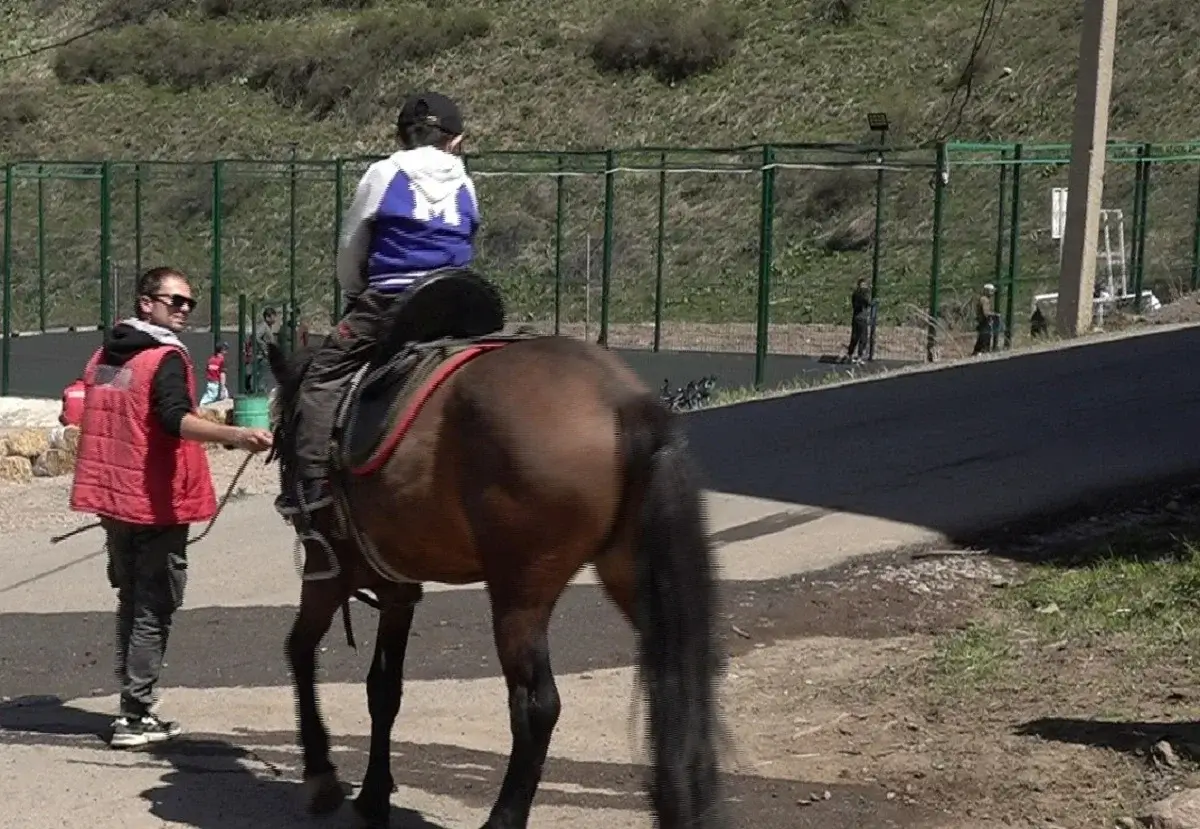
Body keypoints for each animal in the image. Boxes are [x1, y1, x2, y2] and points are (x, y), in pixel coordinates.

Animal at [266, 323, 724, 829]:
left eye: (281, 430)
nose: (286, 498)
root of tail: (621, 399)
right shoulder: (398, 590)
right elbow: (383, 690)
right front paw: (372, 794)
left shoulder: (326, 573)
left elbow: (299, 650)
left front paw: (321, 773)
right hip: (637, 583)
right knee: (682, 687)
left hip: (519, 595)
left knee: (537, 706)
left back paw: (503, 816)